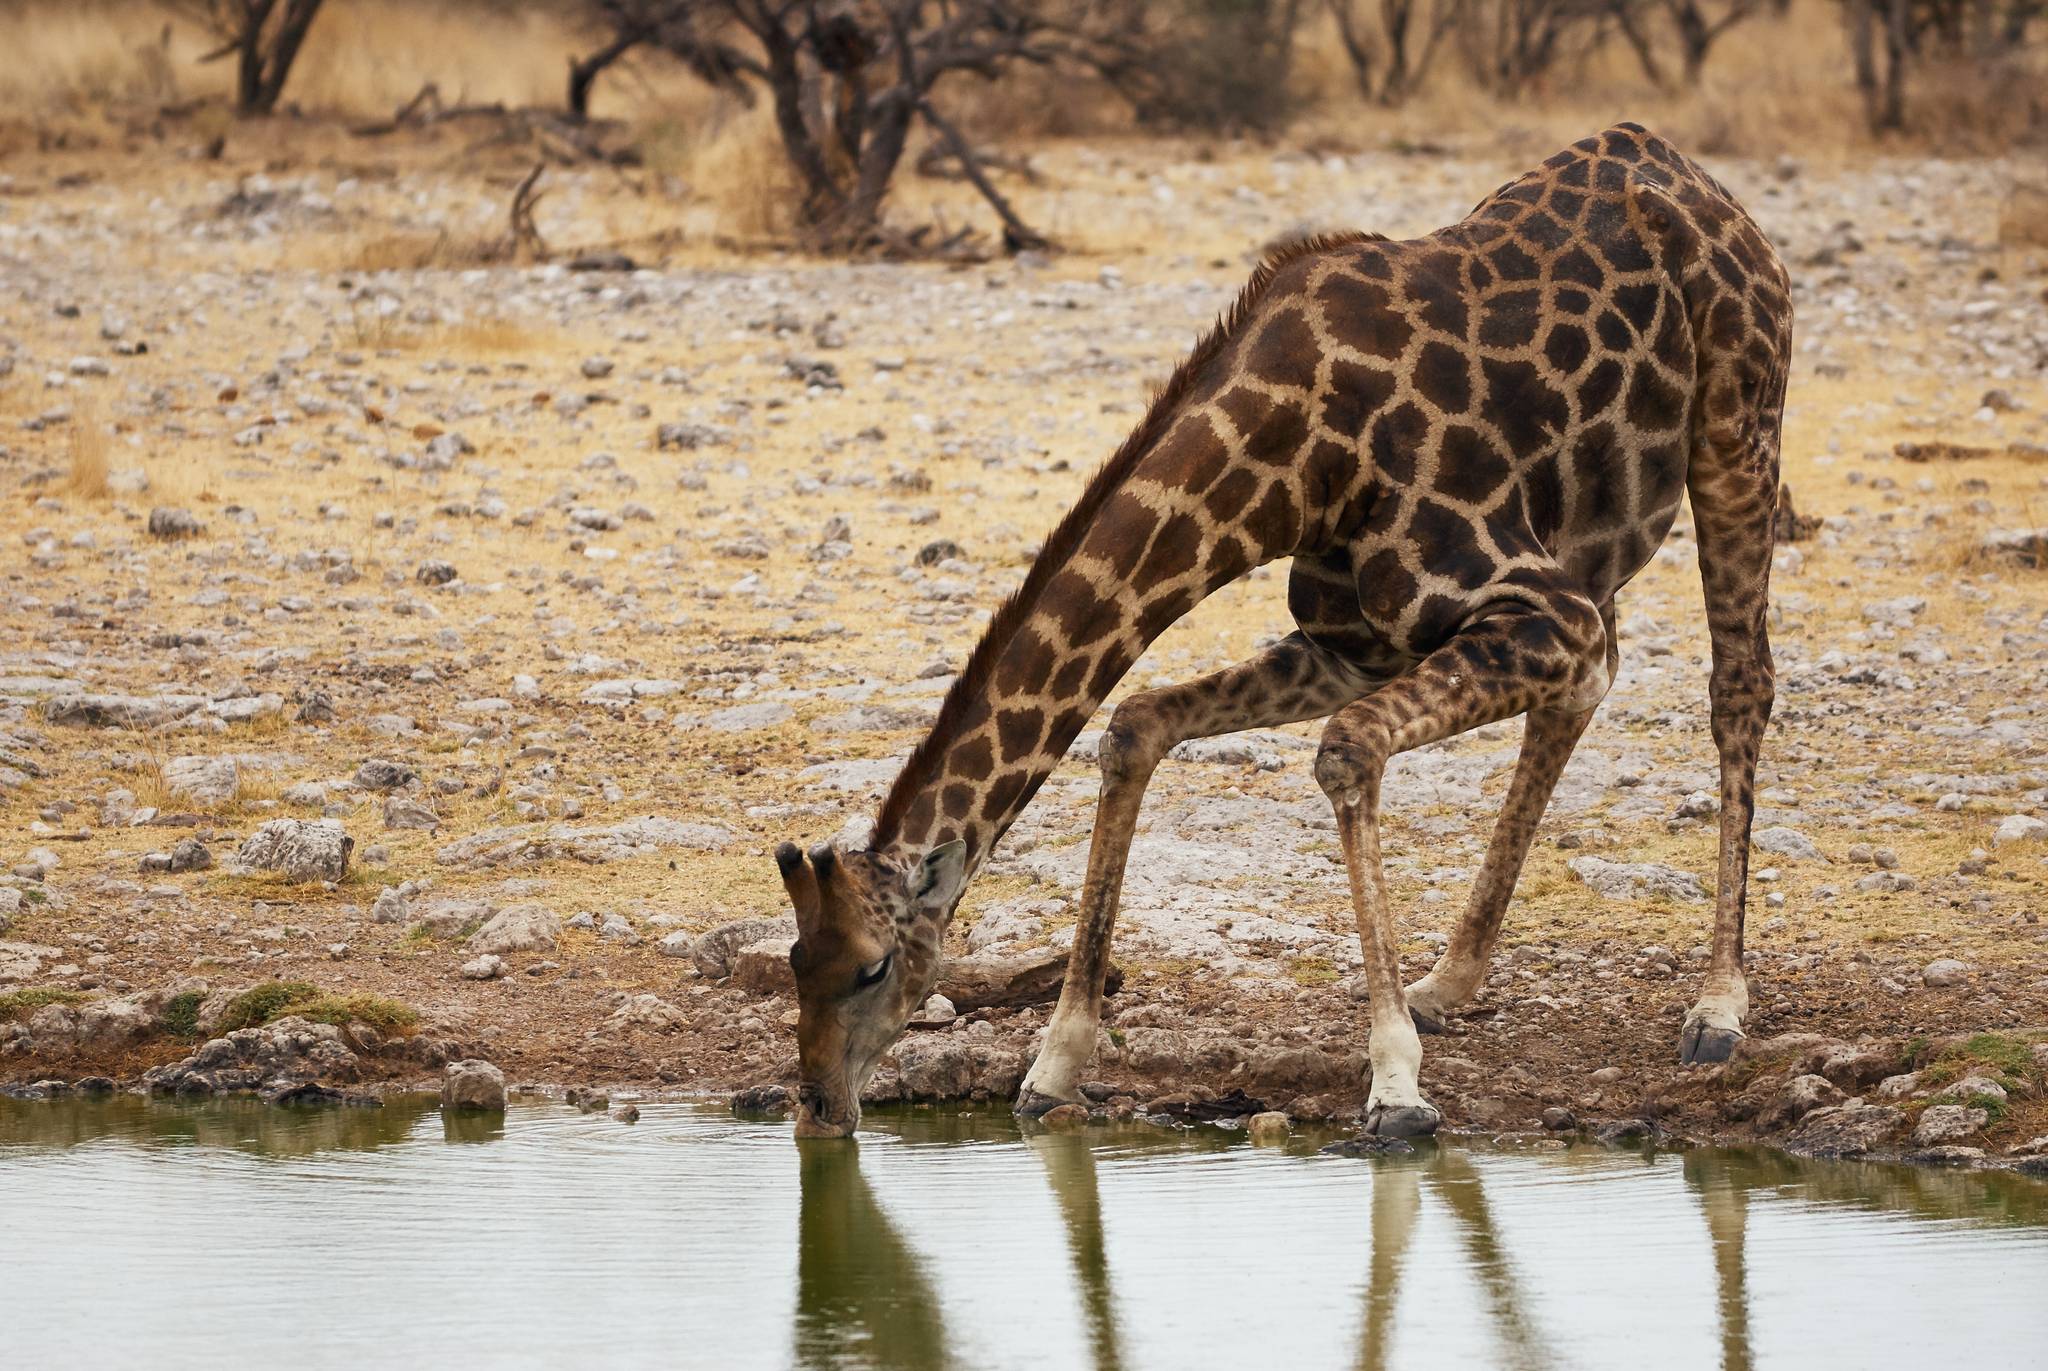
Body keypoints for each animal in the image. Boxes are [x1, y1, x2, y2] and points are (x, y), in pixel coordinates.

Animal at [778, 122, 1794, 1139]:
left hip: (1738, 433)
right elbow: (1134, 724)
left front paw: (1395, 1086)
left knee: (1738, 685)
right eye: (795, 961)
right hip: (1591, 542)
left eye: (871, 966)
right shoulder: (1353, 646)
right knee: (1590, 689)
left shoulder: (1538, 608)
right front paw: (1055, 1063)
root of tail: (1686, 171)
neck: (1296, 465)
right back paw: (1450, 979)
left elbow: (1346, 752)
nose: (820, 1105)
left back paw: (1717, 1008)